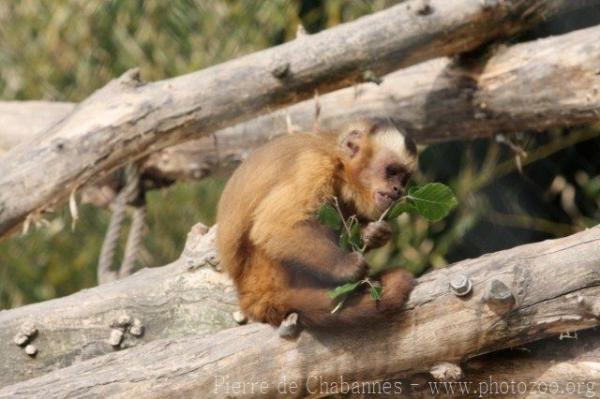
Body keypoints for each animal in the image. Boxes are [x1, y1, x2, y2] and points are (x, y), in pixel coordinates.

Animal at [216, 119, 418, 332]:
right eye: (392, 171)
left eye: (404, 178)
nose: (398, 190)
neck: (338, 164)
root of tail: (247, 291)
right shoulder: (314, 167)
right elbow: (273, 226)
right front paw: (346, 266)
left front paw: (373, 234)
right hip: (264, 273)